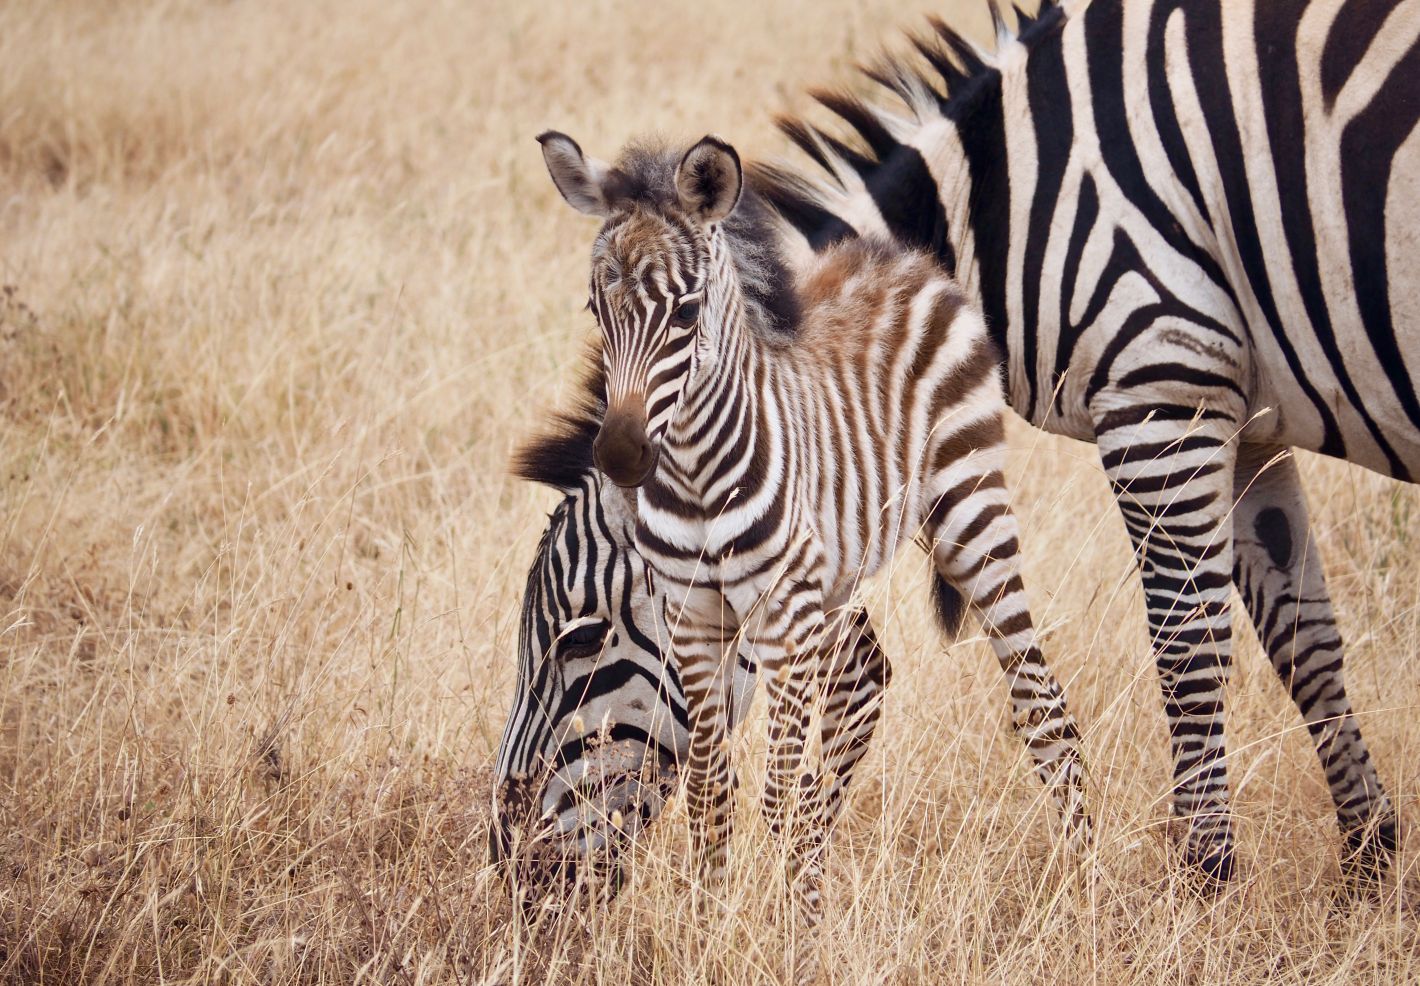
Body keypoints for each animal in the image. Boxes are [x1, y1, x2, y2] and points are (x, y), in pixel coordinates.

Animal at [533, 131, 1084, 949]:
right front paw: (712, 929)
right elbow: (711, 790)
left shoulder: (780, 617)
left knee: (1041, 707)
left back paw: (1086, 886)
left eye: (686, 312)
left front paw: (784, 937)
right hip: (834, 578)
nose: (622, 457)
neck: (697, 477)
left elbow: (778, 789)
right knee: (859, 690)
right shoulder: (694, 619)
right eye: (596, 308)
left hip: (970, 512)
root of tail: (901, 257)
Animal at [749, 0, 1414, 886]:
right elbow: (1303, 638)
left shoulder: (1160, 388)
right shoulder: (1245, 423)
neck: (1001, 210)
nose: (784, 862)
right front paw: (1369, 856)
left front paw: (1202, 872)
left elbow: (1187, 646)